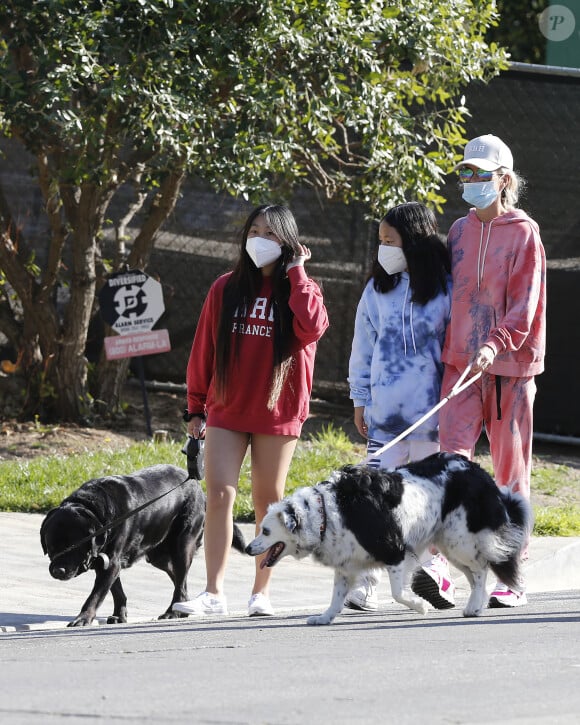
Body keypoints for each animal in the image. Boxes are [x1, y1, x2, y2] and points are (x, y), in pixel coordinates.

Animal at [40, 466, 245, 624]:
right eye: (51, 546)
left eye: (74, 546)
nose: (57, 571)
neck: (95, 511)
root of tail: (199, 488)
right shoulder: (108, 564)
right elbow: (116, 591)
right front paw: (119, 615)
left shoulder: (111, 563)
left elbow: (96, 595)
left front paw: (83, 618)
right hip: (158, 555)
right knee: (180, 579)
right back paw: (182, 608)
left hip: (183, 544)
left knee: (180, 581)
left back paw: (173, 612)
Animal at [245, 452, 532, 624]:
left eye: (266, 531)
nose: (248, 548)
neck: (325, 510)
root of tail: (478, 472)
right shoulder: (346, 564)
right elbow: (336, 596)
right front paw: (325, 617)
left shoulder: (395, 551)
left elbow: (397, 592)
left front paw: (419, 606)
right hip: (449, 544)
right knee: (475, 575)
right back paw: (475, 606)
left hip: (459, 540)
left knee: (482, 569)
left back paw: (475, 606)